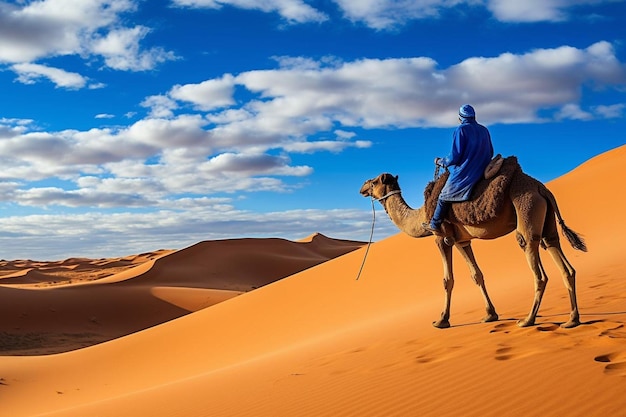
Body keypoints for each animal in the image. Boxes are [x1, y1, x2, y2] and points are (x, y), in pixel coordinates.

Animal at [358, 162, 588, 328]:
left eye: (373, 181)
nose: (362, 188)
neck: (421, 216)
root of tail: (541, 188)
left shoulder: (441, 237)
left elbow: (447, 280)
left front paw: (441, 320)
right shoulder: (461, 240)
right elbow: (477, 275)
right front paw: (490, 315)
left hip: (527, 212)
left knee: (537, 268)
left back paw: (527, 320)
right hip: (547, 224)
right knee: (562, 261)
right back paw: (572, 319)